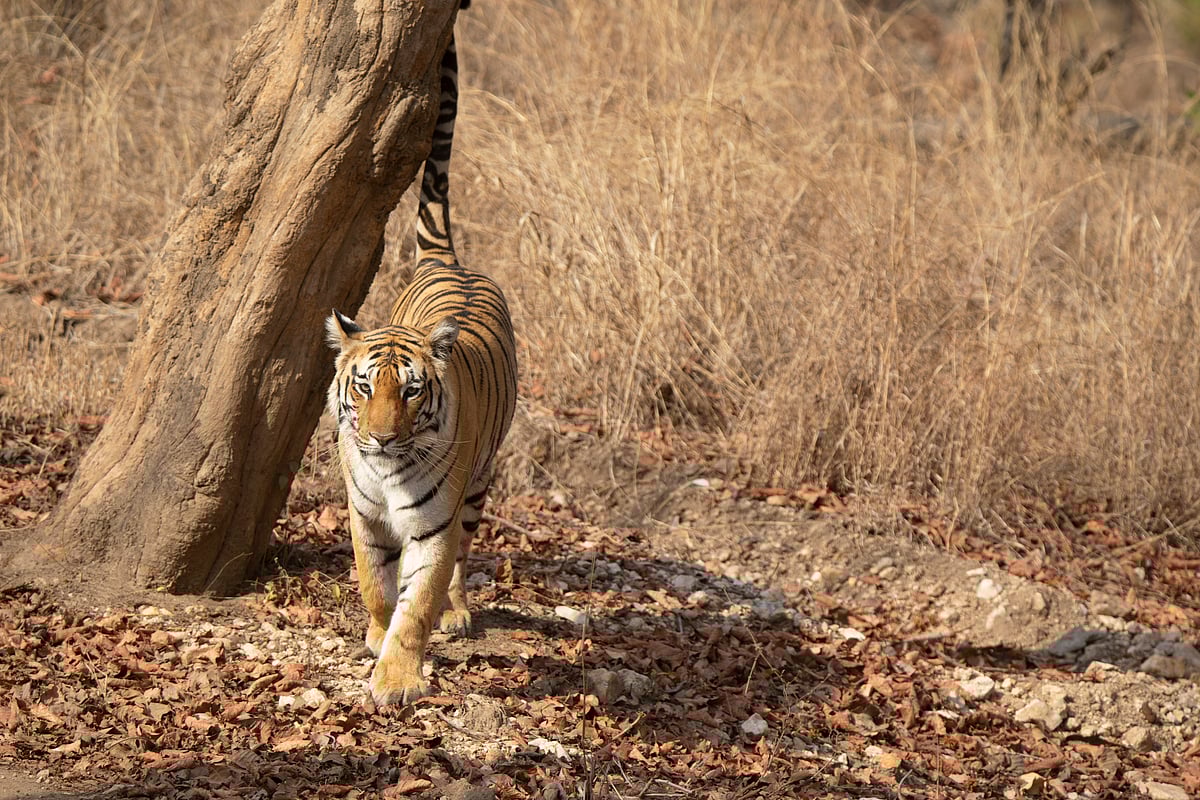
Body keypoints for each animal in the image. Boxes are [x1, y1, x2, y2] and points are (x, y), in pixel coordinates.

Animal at [325, 31, 517, 707]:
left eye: (411, 393)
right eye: (363, 386)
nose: (382, 439)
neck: (387, 472)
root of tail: (448, 262)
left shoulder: (432, 526)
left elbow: (418, 601)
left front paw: (398, 677)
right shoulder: (364, 515)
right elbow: (375, 585)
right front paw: (374, 636)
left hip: (479, 481)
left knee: (463, 551)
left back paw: (457, 612)